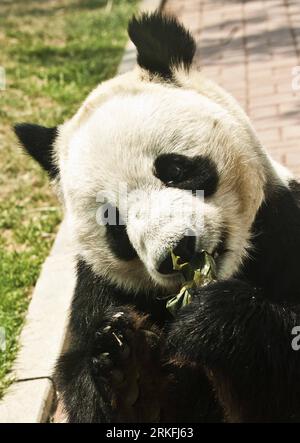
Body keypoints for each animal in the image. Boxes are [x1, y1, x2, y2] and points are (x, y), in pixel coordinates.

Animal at [14, 12, 300, 424]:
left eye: (175, 169)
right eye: (113, 222)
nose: (178, 251)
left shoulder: (283, 226)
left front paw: (213, 321)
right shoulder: (99, 289)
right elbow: (84, 383)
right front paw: (126, 370)